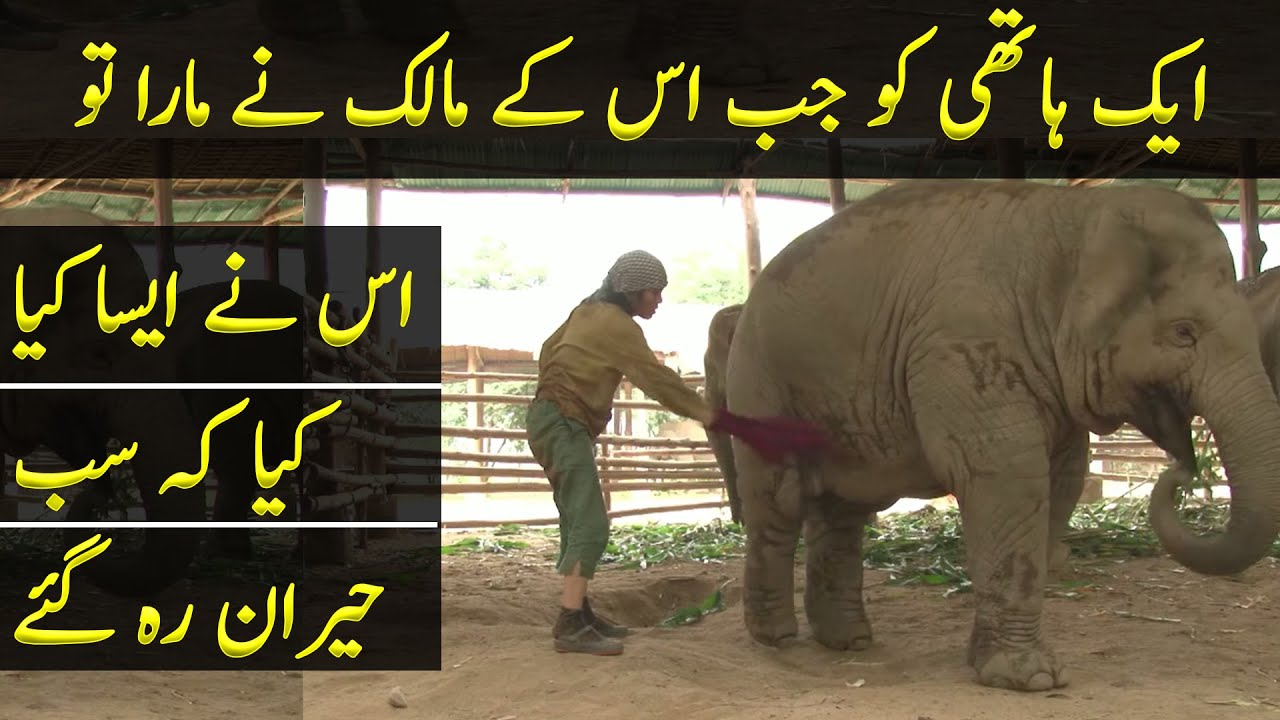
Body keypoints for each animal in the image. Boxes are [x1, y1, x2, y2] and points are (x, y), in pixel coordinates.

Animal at [720, 179, 1280, 692]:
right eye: (1184, 332)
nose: (1183, 470)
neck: (1075, 214)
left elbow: (1062, 478)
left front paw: (1001, 666)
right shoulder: (963, 346)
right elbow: (1007, 473)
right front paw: (1031, 679)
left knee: (844, 511)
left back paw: (849, 641)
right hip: (760, 380)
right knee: (779, 499)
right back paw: (775, 637)